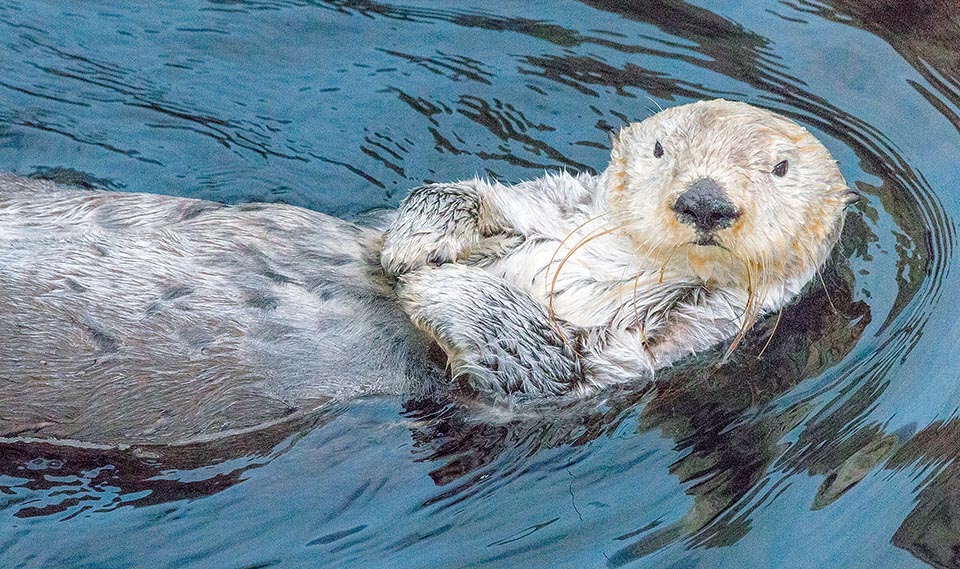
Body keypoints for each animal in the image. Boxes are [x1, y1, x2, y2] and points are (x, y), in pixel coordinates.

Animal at [0, 98, 856, 444]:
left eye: (780, 168)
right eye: (660, 149)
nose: (705, 200)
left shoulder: (635, 356)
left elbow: (530, 366)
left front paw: (431, 285)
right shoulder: (554, 199)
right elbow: (453, 201)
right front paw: (417, 244)